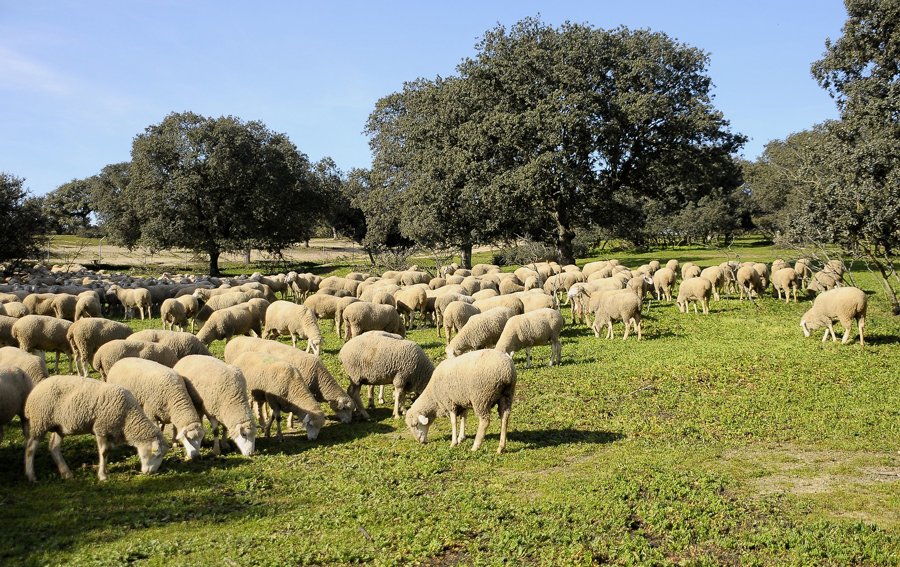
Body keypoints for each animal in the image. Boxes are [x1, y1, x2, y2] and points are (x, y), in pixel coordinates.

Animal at [24, 374, 169, 482]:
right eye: (157, 454)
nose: (151, 472)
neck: (128, 417)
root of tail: (33, 392)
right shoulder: (101, 429)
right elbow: (103, 452)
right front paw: (102, 475)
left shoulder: (110, 431)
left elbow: (108, 451)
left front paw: (106, 471)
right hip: (40, 422)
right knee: (31, 447)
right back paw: (31, 476)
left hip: (59, 427)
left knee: (53, 447)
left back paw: (66, 473)